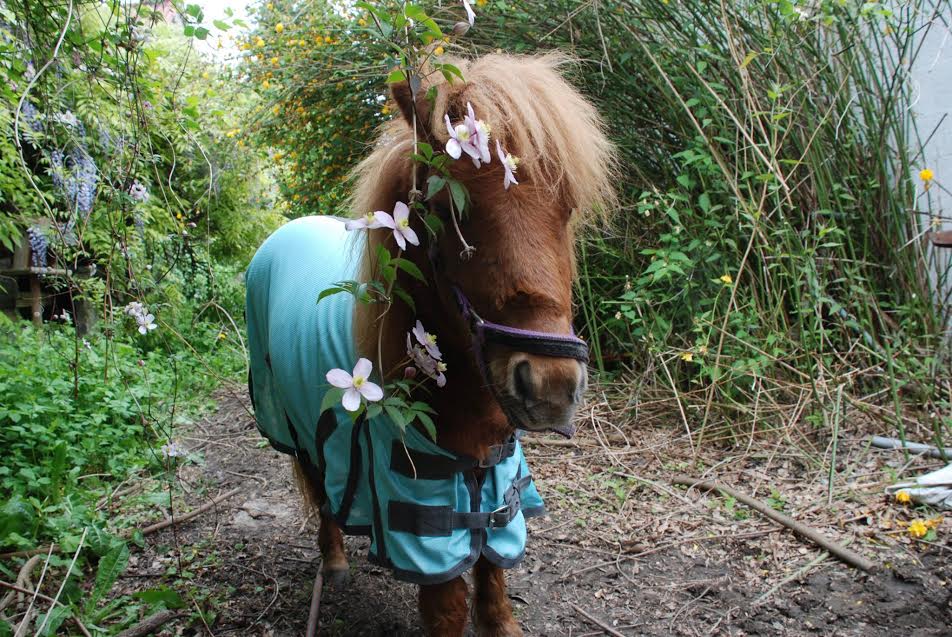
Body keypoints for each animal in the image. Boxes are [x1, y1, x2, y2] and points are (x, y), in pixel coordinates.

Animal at [296, 56, 616, 636]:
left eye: (567, 207)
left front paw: (500, 622)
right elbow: (446, 605)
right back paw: (333, 561)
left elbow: (493, 569)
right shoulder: (422, 517)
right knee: (320, 490)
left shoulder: (497, 484)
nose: (551, 384)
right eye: (448, 209)